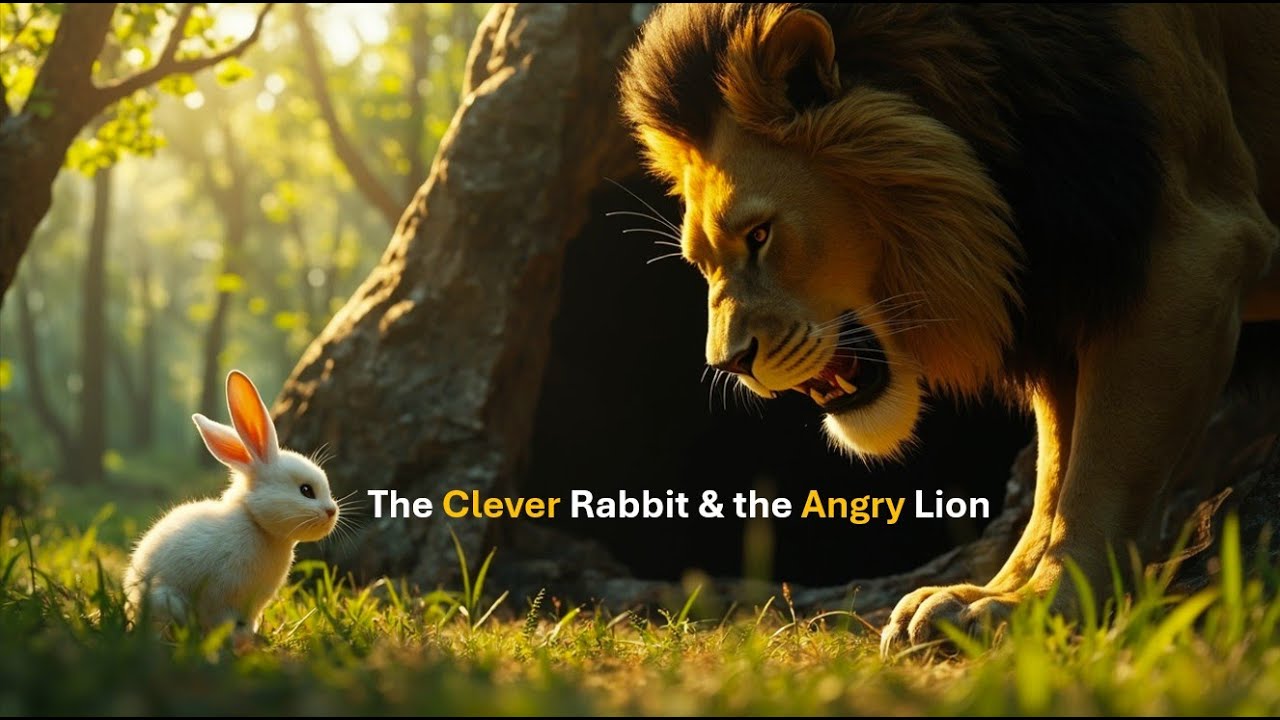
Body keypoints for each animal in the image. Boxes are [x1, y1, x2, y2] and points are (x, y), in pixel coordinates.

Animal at [124, 369, 339, 645]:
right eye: (306, 490)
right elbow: (221, 619)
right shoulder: (221, 594)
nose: (332, 511)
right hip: (167, 599)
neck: (256, 524)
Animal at [618, 3, 1280, 655]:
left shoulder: (1194, 245)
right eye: (701, 263)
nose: (728, 363)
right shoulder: (1068, 292)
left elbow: (1100, 473)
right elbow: (1056, 472)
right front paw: (986, 595)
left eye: (759, 235)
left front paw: (1046, 606)